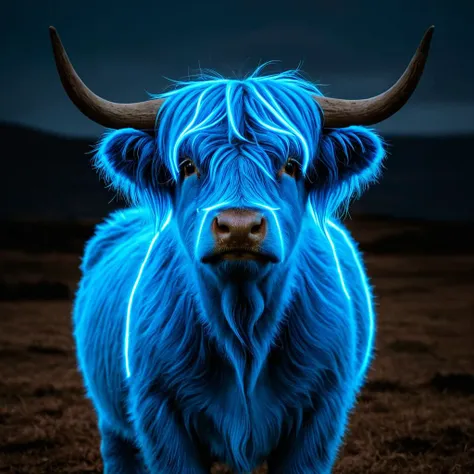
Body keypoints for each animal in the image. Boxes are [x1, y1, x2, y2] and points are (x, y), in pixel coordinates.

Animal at [51, 26, 434, 474]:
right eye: (187, 165)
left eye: (291, 164)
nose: (237, 227)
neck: (243, 328)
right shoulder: (160, 414)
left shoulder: (320, 417)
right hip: (113, 422)